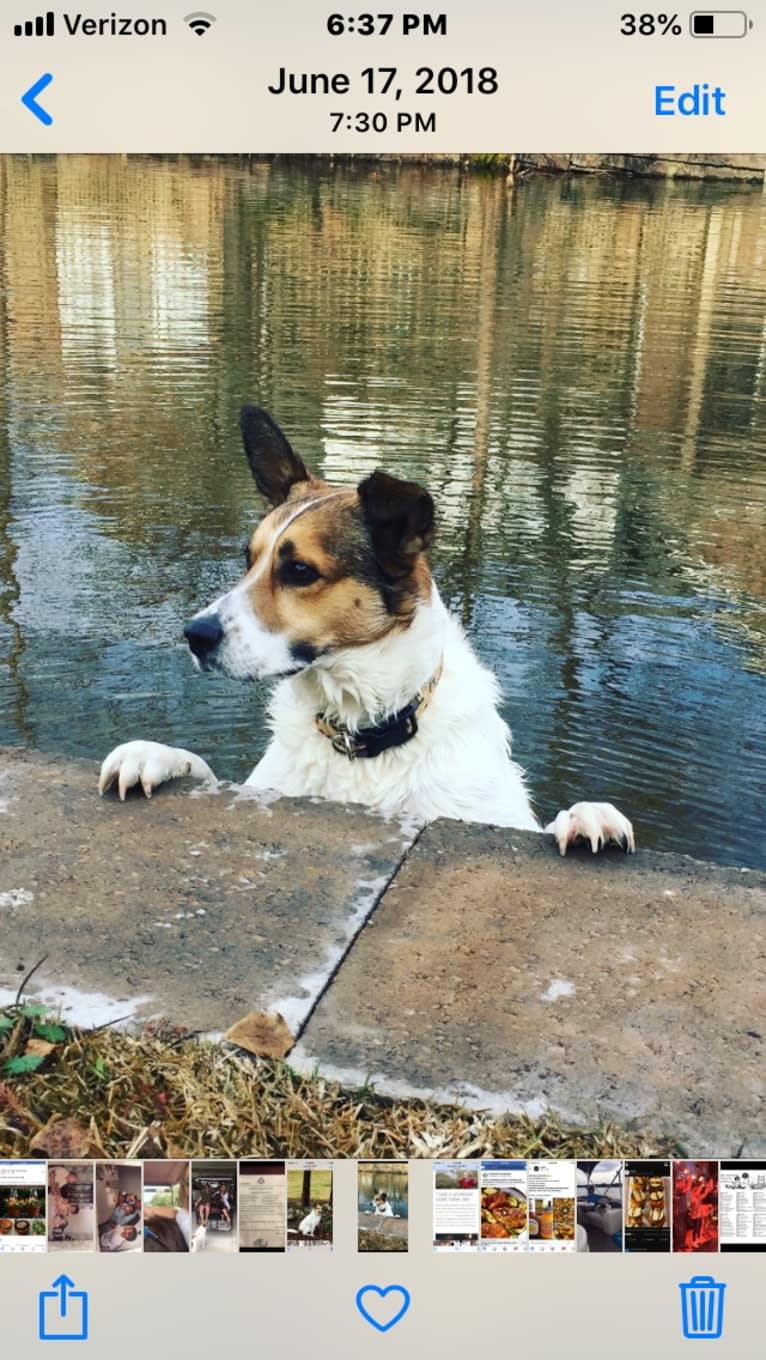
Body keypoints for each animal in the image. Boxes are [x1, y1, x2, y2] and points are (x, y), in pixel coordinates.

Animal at [97, 399, 636, 859]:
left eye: (299, 571)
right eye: (248, 560)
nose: (195, 635)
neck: (361, 734)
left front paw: (588, 815)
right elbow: (207, 772)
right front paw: (157, 755)